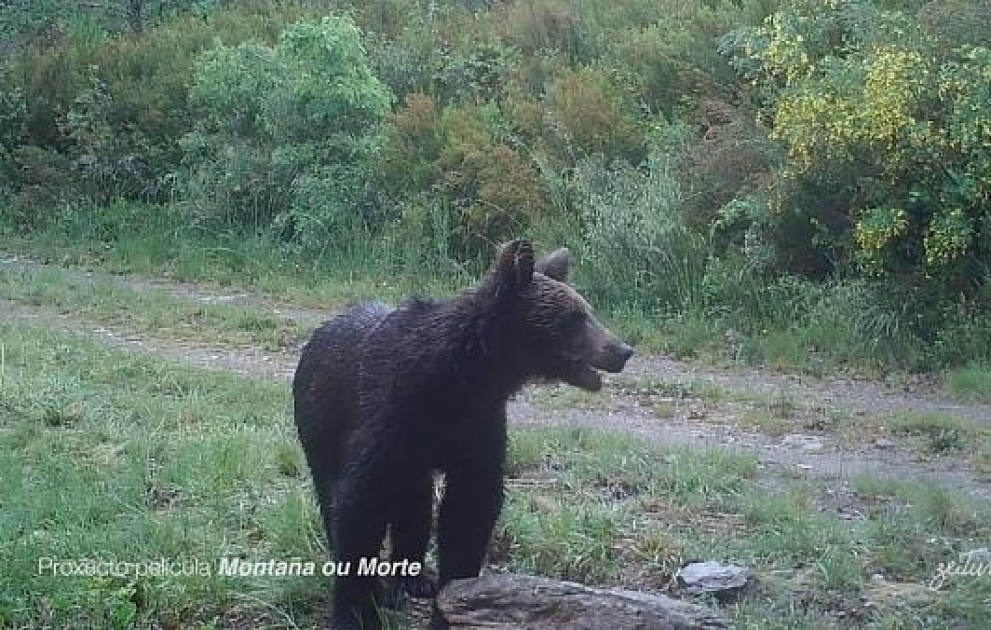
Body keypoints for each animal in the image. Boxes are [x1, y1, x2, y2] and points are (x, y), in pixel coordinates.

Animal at [292, 239, 633, 629]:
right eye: (574, 317)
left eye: (587, 310)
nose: (622, 350)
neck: (460, 378)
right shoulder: (388, 417)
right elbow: (359, 505)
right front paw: (357, 610)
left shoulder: (477, 426)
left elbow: (469, 509)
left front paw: (455, 601)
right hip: (319, 430)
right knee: (332, 491)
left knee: (414, 501)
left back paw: (413, 577)